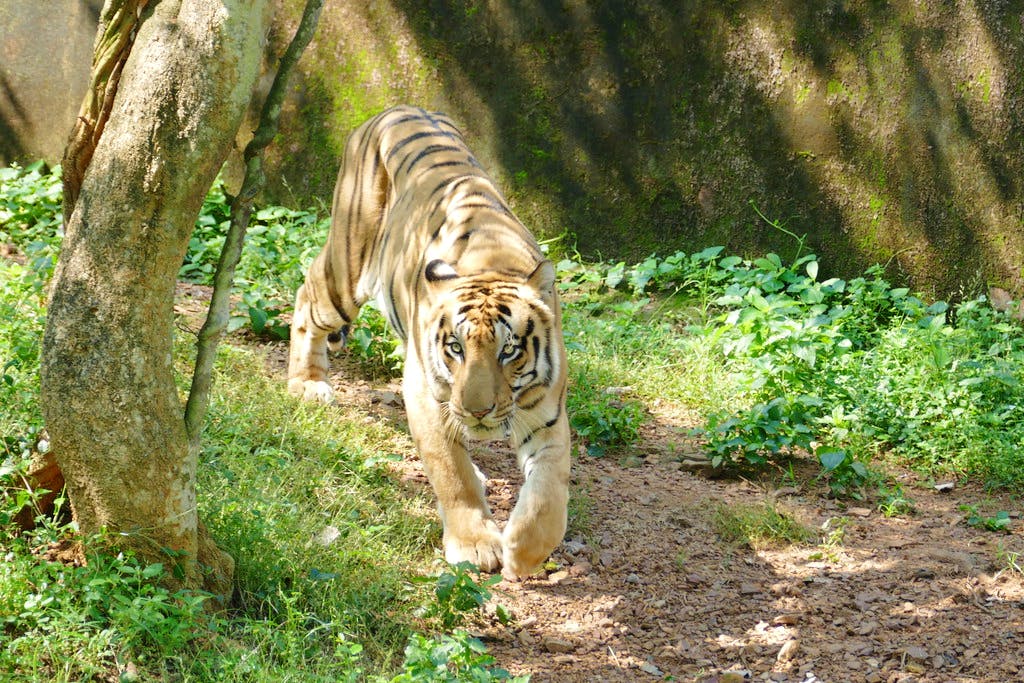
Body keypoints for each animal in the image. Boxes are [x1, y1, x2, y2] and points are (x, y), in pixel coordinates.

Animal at [288, 105, 573, 577]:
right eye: (456, 348)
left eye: (508, 350)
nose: (478, 411)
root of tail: (397, 108)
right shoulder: (427, 395)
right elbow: (451, 473)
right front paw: (475, 545)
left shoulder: (548, 413)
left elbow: (550, 493)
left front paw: (524, 552)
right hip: (346, 272)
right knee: (307, 293)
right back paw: (307, 383)